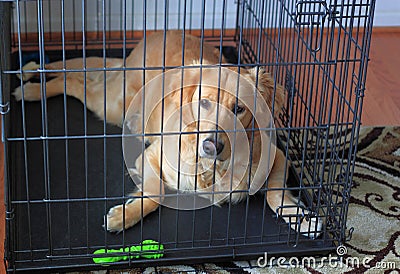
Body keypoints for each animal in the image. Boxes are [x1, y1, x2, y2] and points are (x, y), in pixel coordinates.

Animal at [14, 30, 324, 237]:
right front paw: (124, 216)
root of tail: (153, 35)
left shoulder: (278, 156)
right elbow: (157, 190)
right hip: (113, 104)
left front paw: (300, 217)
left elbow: (275, 193)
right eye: (204, 102)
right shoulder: (150, 157)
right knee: (75, 81)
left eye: (239, 108)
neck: (213, 167)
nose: (212, 146)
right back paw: (31, 89)